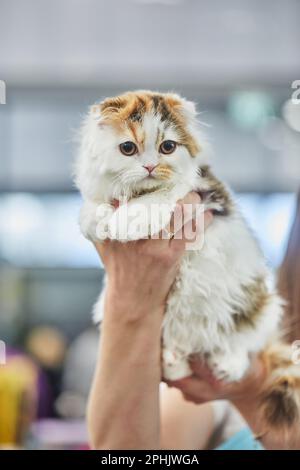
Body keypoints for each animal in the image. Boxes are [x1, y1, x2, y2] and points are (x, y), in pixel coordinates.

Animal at [75, 90, 300, 432]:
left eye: (168, 147)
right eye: (128, 148)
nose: (151, 166)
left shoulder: (199, 189)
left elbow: (163, 193)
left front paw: (127, 222)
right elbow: (94, 204)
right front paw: (94, 221)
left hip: (265, 305)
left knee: (245, 340)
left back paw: (228, 364)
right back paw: (173, 359)